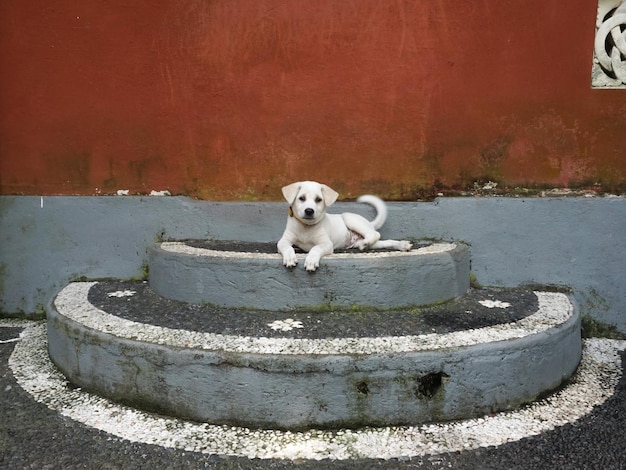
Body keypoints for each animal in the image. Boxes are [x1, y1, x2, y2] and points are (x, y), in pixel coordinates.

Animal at [276, 182, 412, 274]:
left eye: (318, 199)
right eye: (301, 198)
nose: (309, 211)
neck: (306, 227)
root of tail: (369, 223)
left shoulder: (326, 244)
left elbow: (315, 248)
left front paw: (311, 260)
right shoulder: (284, 240)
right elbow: (286, 247)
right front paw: (290, 258)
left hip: (349, 217)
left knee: (375, 234)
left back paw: (366, 242)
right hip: (372, 243)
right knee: (384, 241)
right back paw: (402, 245)